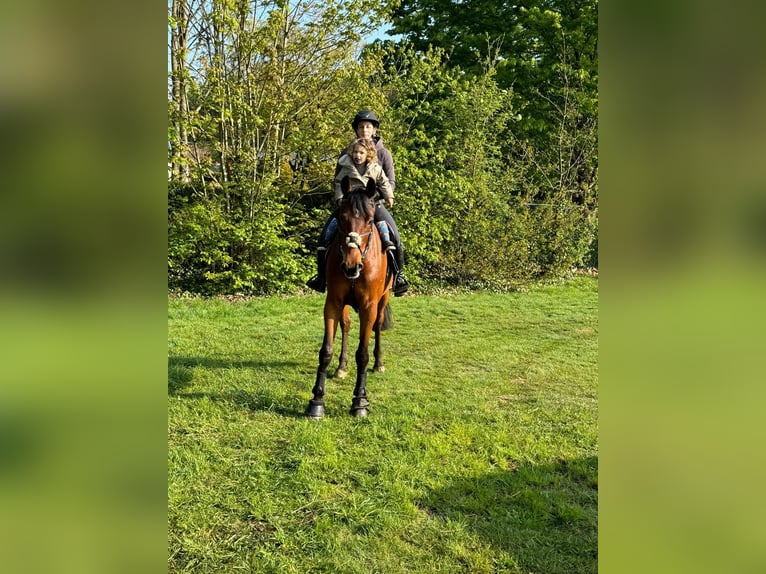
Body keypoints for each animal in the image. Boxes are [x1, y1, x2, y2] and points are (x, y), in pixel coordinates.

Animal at [306, 176, 394, 418]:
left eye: (370, 220)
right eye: (341, 218)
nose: (351, 267)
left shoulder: (368, 307)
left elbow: (362, 354)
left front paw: (360, 401)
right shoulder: (333, 303)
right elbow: (326, 351)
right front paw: (317, 401)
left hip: (383, 299)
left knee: (378, 326)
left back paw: (379, 363)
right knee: (345, 326)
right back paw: (342, 367)